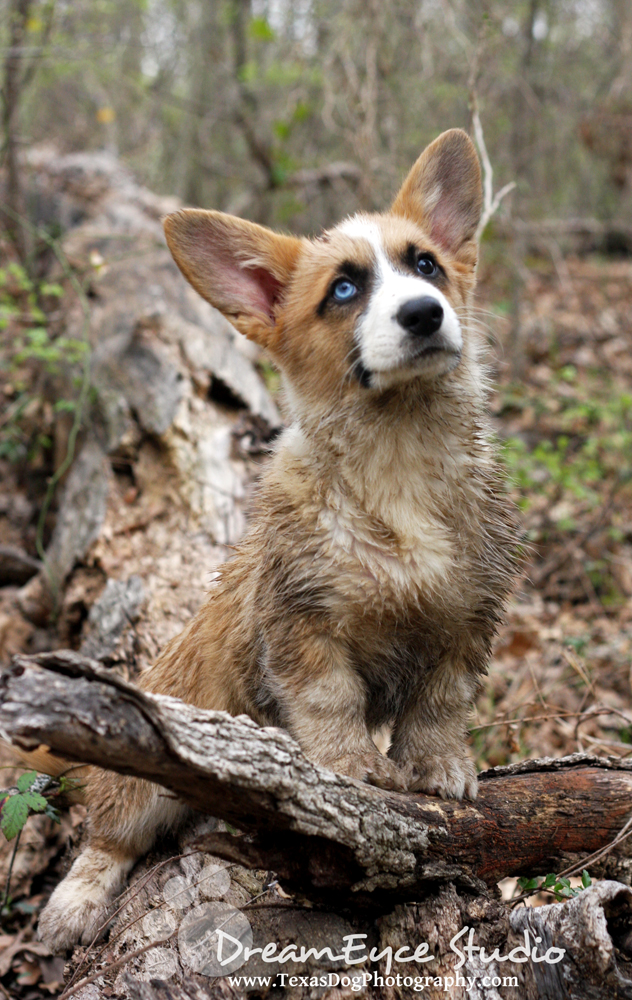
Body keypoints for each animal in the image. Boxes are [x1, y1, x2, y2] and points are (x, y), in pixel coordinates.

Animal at [37, 131, 520, 952]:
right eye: (343, 291)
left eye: (426, 265)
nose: (424, 314)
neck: (397, 460)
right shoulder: (305, 627)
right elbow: (332, 703)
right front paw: (355, 767)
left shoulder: (465, 625)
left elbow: (438, 706)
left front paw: (439, 767)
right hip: (140, 773)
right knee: (109, 832)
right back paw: (74, 902)